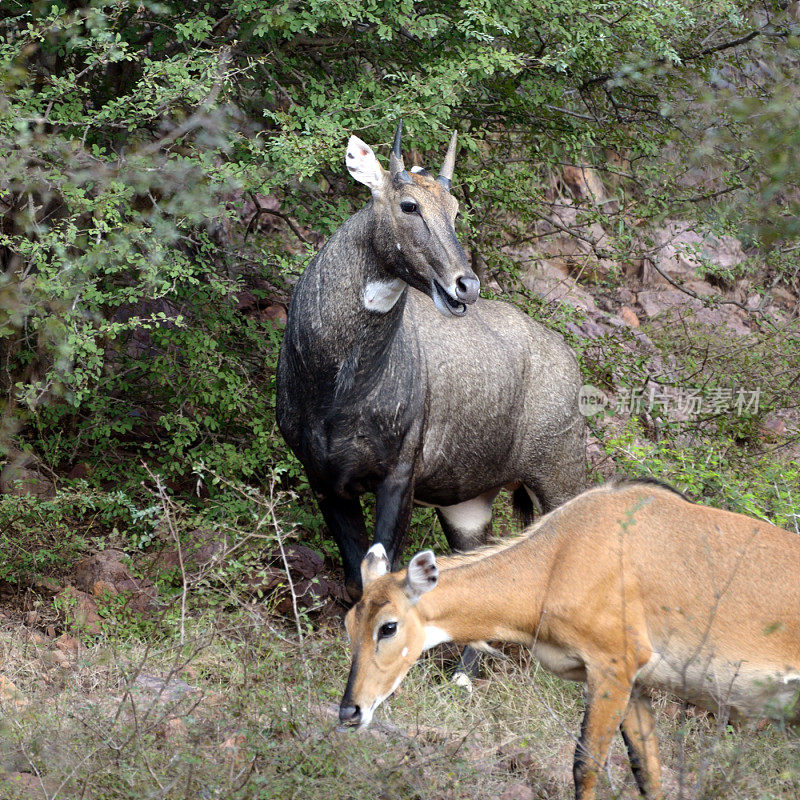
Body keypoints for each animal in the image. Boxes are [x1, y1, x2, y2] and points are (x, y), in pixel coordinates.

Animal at [276, 123, 588, 600]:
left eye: (455, 210)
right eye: (409, 205)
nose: (465, 286)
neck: (337, 387)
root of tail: (566, 355)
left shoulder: (399, 475)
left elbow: (382, 576)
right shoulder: (323, 478)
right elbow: (356, 581)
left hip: (559, 476)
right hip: (468, 506)